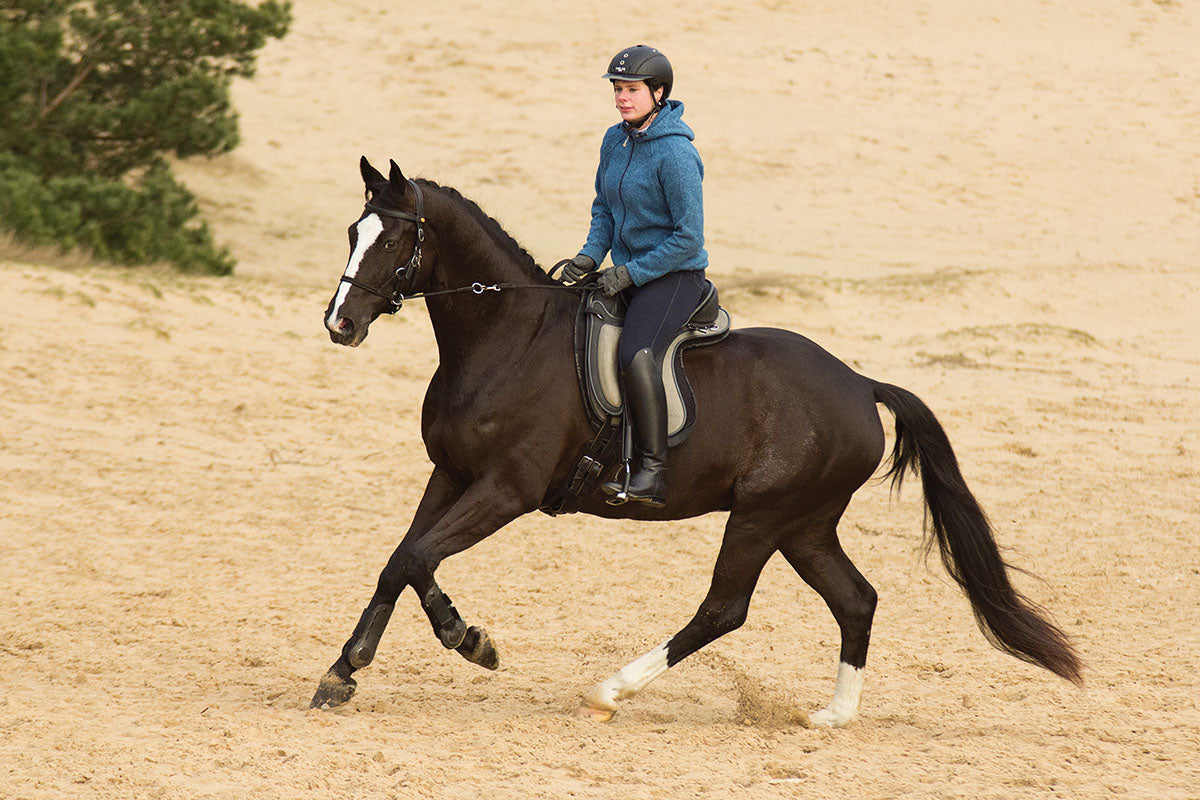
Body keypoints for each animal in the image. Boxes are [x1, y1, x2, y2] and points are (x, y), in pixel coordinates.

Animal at [314, 155, 1084, 724]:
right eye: (351, 231)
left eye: (391, 240)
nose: (339, 324)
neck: (505, 338)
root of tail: (860, 385)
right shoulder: (449, 474)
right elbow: (400, 560)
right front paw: (349, 671)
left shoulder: (507, 489)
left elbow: (419, 557)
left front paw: (465, 642)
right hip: (804, 525)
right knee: (856, 599)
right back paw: (832, 715)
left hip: (762, 516)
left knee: (724, 608)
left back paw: (611, 690)